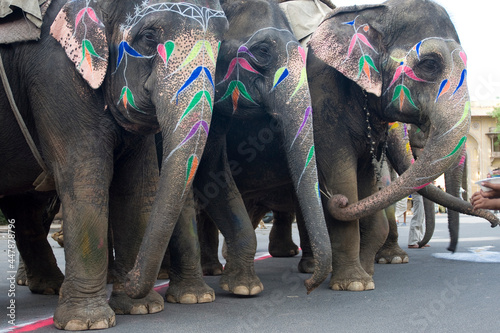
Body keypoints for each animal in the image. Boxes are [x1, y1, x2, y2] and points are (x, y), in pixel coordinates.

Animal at [0, 0, 227, 328]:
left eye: (220, 42)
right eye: (148, 37)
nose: (131, 277)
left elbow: (136, 185)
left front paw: (142, 308)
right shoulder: (53, 73)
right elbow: (86, 175)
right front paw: (86, 322)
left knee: (25, 208)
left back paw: (51, 287)